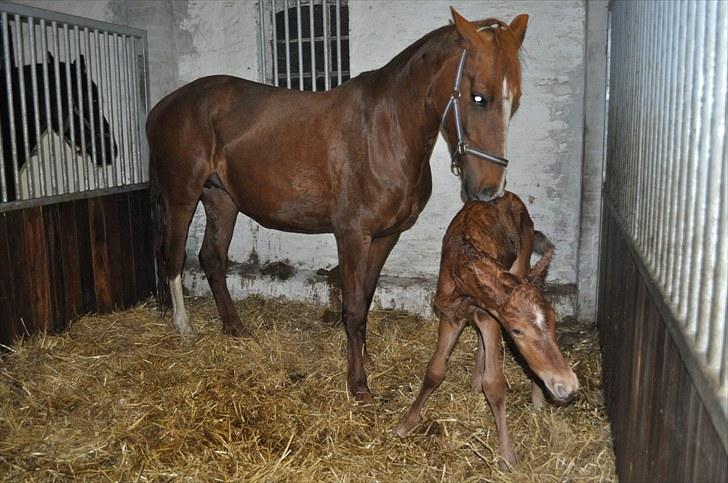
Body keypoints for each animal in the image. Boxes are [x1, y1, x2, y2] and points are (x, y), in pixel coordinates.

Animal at [146, 10, 528, 404]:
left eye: (513, 101)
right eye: (479, 97)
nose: (490, 189)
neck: (385, 132)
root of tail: (162, 107)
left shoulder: (385, 237)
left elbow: (366, 298)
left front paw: (365, 358)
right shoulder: (352, 235)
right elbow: (353, 306)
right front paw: (358, 385)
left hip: (221, 200)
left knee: (212, 258)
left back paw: (235, 327)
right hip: (182, 196)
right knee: (173, 257)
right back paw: (184, 326)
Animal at [398, 192, 580, 466]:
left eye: (554, 321)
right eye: (517, 331)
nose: (568, 385)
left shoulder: (491, 318)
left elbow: (494, 384)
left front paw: (507, 455)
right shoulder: (450, 316)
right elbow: (435, 370)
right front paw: (406, 423)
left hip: (522, 258)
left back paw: (537, 397)